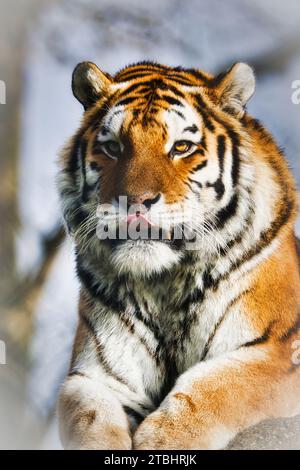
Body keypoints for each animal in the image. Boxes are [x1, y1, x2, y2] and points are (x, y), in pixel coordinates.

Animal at [56, 60, 300, 450]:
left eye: (182, 146)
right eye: (113, 147)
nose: (135, 201)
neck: (165, 282)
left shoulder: (281, 350)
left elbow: (217, 385)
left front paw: (164, 439)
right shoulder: (93, 377)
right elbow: (91, 419)